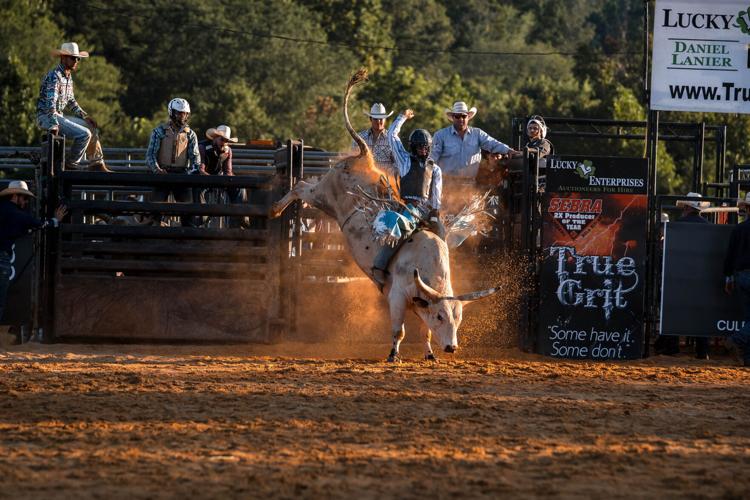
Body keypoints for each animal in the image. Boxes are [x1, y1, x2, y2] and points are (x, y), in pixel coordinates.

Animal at [270, 68, 500, 362]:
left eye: (457, 318)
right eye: (440, 316)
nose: (452, 347)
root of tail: (364, 157)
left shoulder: (418, 303)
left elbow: (424, 332)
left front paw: (430, 354)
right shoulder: (397, 297)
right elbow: (399, 330)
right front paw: (393, 354)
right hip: (322, 195)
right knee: (300, 186)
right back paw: (275, 209)